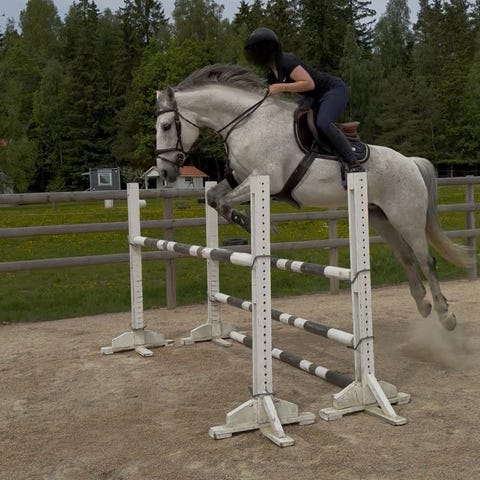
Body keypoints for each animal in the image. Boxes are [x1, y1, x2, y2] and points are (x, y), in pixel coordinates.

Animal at [154, 64, 472, 331]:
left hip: (406, 218)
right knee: (406, 257)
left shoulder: (265, 179)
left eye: (166, 126)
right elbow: (214, 198)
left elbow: (226, 202)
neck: (247, 123)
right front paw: (249, 224)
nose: (165, 171)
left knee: (425, 259)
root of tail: (410, 163)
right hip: (380, 217)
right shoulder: (237, 176)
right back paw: (423, 304)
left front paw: (257, 226)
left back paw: (446, 315)